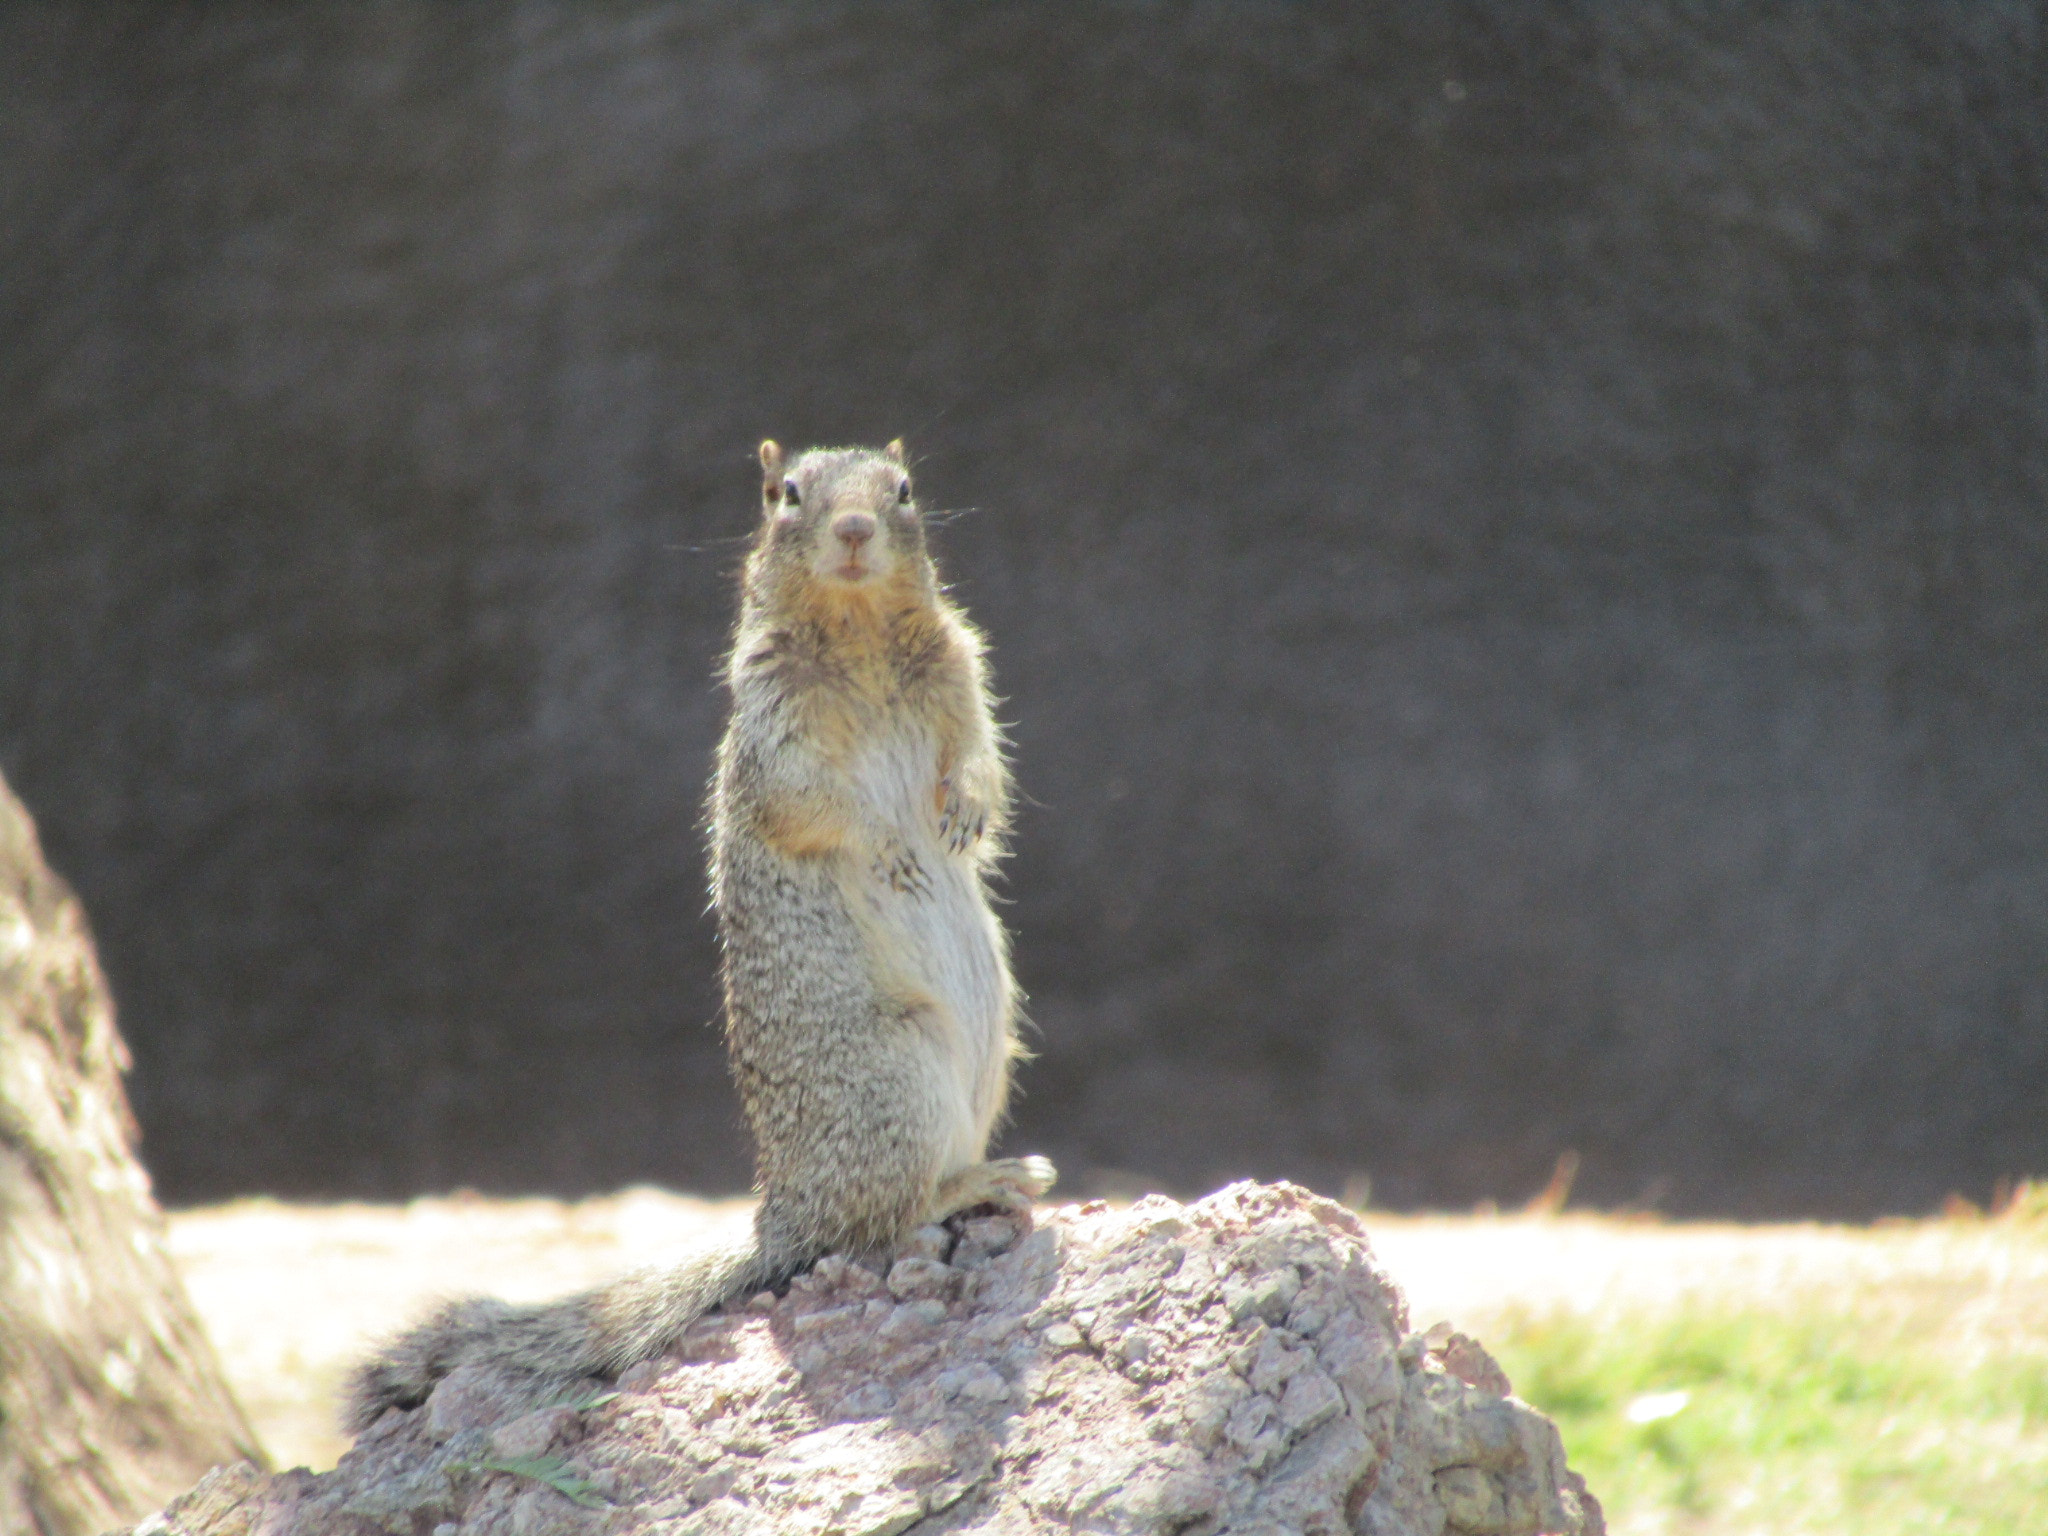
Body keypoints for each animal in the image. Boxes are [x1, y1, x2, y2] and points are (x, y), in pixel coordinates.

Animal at [342, 438, 1048, 1441]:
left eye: (905, 490)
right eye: (786, 494)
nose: (855, 529)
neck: (860, 628)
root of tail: (781, 1213)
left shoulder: (961, 671)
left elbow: (983, 753)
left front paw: (967, 809)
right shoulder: (771, 736)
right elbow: (812, 806)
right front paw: (887, 842)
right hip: (896, 1085)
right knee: (877, 1222)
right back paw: (978, 1182)